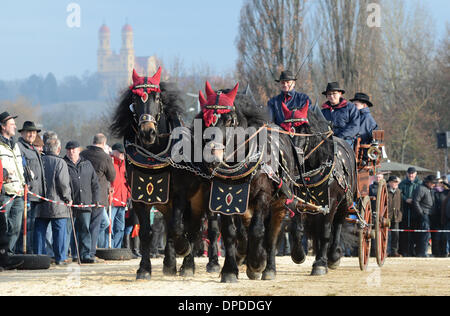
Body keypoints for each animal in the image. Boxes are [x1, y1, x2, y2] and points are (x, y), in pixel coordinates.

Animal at [110, 68, 208, 278]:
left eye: (157, 97)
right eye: (135, 98)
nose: (148, 132)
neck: (155, 152)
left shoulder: (179, 193)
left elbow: (178, 227)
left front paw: (182, 249)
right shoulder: (139, 196)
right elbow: (146, 232)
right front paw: (144, 268)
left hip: (197, 200)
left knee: (193, 228)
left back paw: (187, 264)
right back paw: (169, 263)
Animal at [198, 81, 298, 282]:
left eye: (230, 120)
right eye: (206, 120)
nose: (211, 158)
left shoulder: (263, 196)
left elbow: (258, 230)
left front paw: (257, 263)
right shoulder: (224, 199)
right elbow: (230, 232)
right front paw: (230, 270)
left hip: (280, 202)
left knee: (272, 233)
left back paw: (269, 267)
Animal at [288, 105, 358, 274]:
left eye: (305, 130)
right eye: (286, 129)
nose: (295, 158)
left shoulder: (330, 203)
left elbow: (326, 232)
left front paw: (321, 263)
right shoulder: (300, 202)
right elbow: (297, 228)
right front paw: (299, 254)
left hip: (344, 203)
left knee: (337, 225)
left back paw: (332, 256)